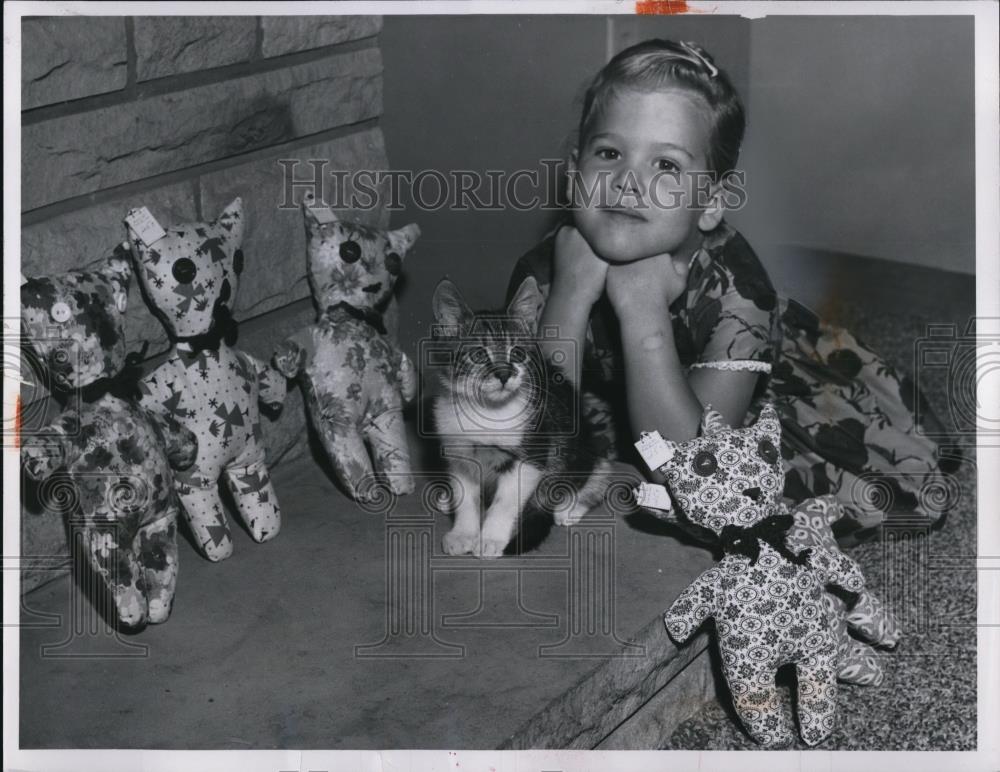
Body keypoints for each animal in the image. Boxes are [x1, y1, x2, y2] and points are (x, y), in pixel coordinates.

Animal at [428, 274, 608, 556]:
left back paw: (569, 508)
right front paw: (463, 533)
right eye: (478, 354)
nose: (504, 374)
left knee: (596, 473)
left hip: (582, 450)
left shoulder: (531, 455)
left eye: (518, 353)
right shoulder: (458, 451)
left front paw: (490, 539)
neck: (486, 412)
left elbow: (505, 501)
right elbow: (466, 495)